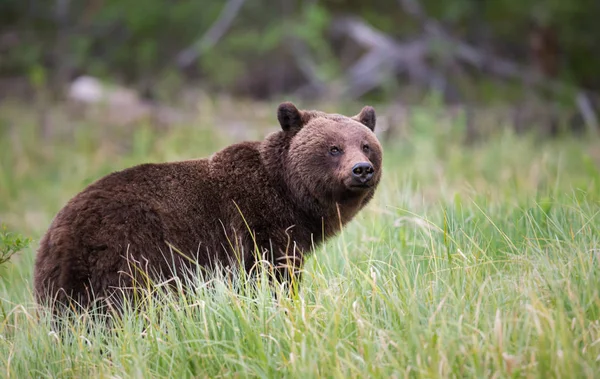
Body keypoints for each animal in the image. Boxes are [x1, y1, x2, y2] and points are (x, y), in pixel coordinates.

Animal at [32, 102, 382, 314]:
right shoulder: (260, 227)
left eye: (366, 145)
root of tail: (57, 233)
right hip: (125, 254)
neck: (291, 196)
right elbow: (273, 276)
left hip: (65, 283)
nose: (362, 170)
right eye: (333, 148)